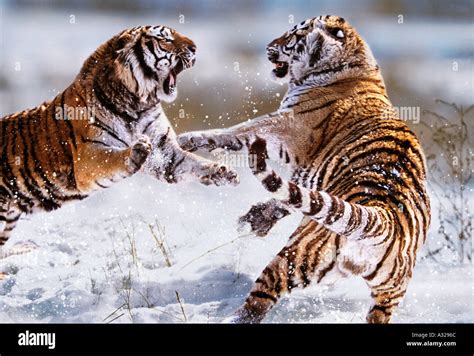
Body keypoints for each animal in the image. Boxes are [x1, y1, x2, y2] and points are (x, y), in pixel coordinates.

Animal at [0, 25, 237, 258]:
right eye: (165, 39)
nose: (194, 47)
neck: (138, 104)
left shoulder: (164, 153)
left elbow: (193, 163)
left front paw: (223, 173)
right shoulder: (85, 160)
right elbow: (110, 159)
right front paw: (135, 153)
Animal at [178, 16, 430, 322]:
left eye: (293, 36)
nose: (268, 47)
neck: (353, 67)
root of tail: (383, 216)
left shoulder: (285, 127)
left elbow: (236, 132)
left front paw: (186, 140)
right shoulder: (306, 173)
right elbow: (291, 197)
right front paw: (257, 219)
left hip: (295, 257)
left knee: (258, 301)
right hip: (389, 291)